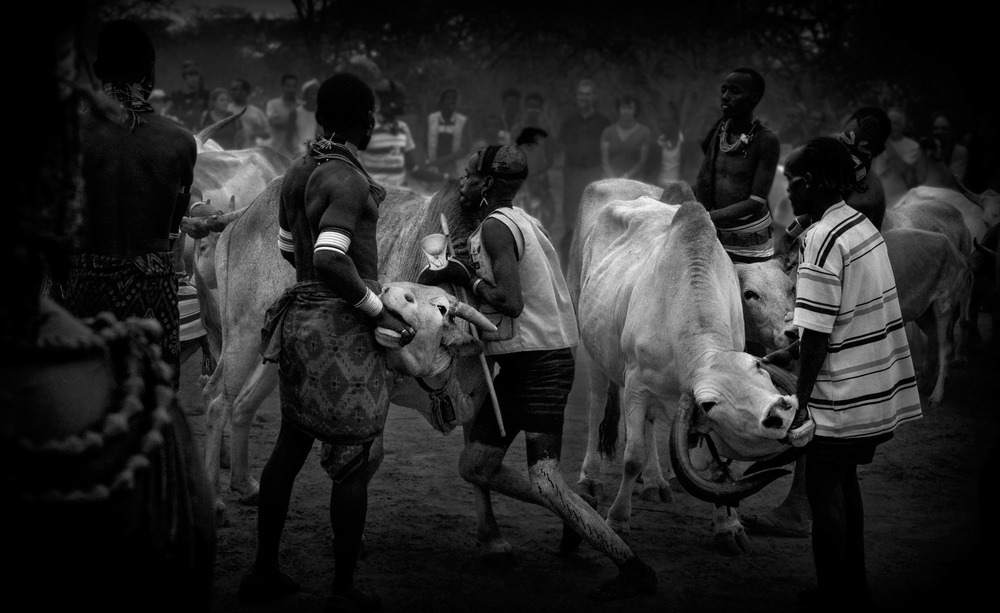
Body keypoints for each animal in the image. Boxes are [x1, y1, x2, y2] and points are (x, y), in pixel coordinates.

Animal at [568, 180, 808, 556]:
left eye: (759, 369)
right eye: (750, 293)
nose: (781, 411)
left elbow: (718, 469)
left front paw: (728, 526)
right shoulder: (636, 384)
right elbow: (632, 455)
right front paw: (618, 520)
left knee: (650, 424)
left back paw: (655, 482)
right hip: (591, 346)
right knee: (596, 407)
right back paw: (590, 479)